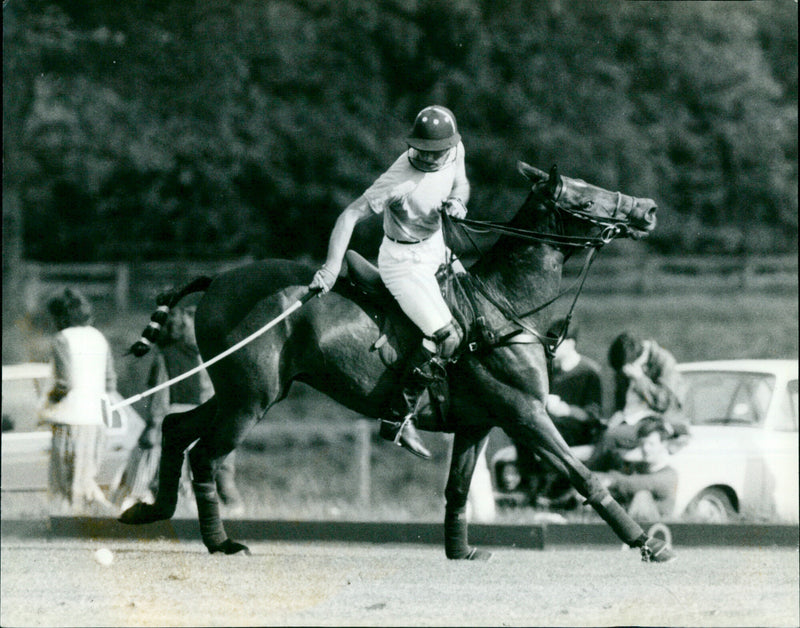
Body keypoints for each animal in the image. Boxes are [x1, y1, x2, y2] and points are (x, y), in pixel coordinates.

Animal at [120, 162, 668, 560]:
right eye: (587, 198)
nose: (648, 209)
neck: (503, 304)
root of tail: (216, 280)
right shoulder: (525, 413)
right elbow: (584, 475)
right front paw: (648, 543)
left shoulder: (479, 423)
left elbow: (457, 490)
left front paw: (462, 551)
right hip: (250, 396)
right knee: (205, 455)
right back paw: (221, 542)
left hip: (240, 390)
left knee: (173, 427)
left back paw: (147, 511)